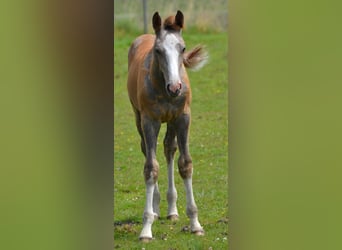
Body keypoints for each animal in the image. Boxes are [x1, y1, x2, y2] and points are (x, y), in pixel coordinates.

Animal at [127, 10, 207, 242]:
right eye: (158, 50)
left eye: (183, 48)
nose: (175, 87)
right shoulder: (149, 121)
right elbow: (151, 168)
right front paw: (146, 228)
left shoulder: (183, 118)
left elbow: (185, 164)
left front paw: (195, 224)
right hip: (139, 118)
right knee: (147, 150)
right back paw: (155, 208)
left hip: (171, 121)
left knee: (169, 149)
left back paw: (172, 210)